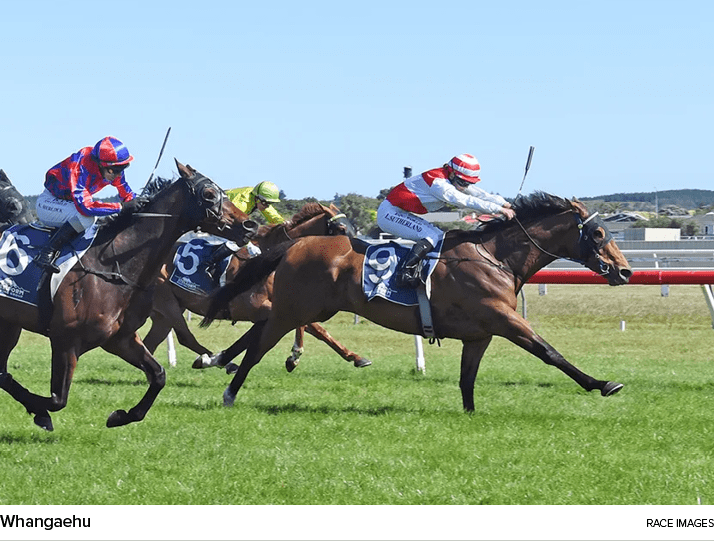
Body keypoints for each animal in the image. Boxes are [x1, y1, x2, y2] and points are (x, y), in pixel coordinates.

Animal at [0, 159, 258, 432]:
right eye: (208, 194)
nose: (250, 225)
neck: (111, 266)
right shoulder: (65, 340)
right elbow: (57, 399)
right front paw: (40, 412)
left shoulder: (120, 339)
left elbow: (159, 375)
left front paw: (121, 416)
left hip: (9, 324)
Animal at [142, 202, 370, 372]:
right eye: (341, 229)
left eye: (352, 227)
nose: (357, 252)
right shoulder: (257, 308)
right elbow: (312, 326)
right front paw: (295, 355)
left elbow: (313, 328)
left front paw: (355, 357)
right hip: (167, 302)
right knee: (185, 337)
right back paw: (218, 362)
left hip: (165, 312)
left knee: (151, 342)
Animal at [203, 193, 632, 410]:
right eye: (597, 233)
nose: (625, 271)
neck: (494, 257)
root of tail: (296, 244)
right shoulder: (504, 319)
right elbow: (550, 352)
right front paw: (602, 384)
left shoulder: (481, 334)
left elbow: (467, 378)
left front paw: (470, 415)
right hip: (296, 308)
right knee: (258, 347)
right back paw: (229, 392)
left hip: (302, 307)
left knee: (260, 334)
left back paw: (217, 362)